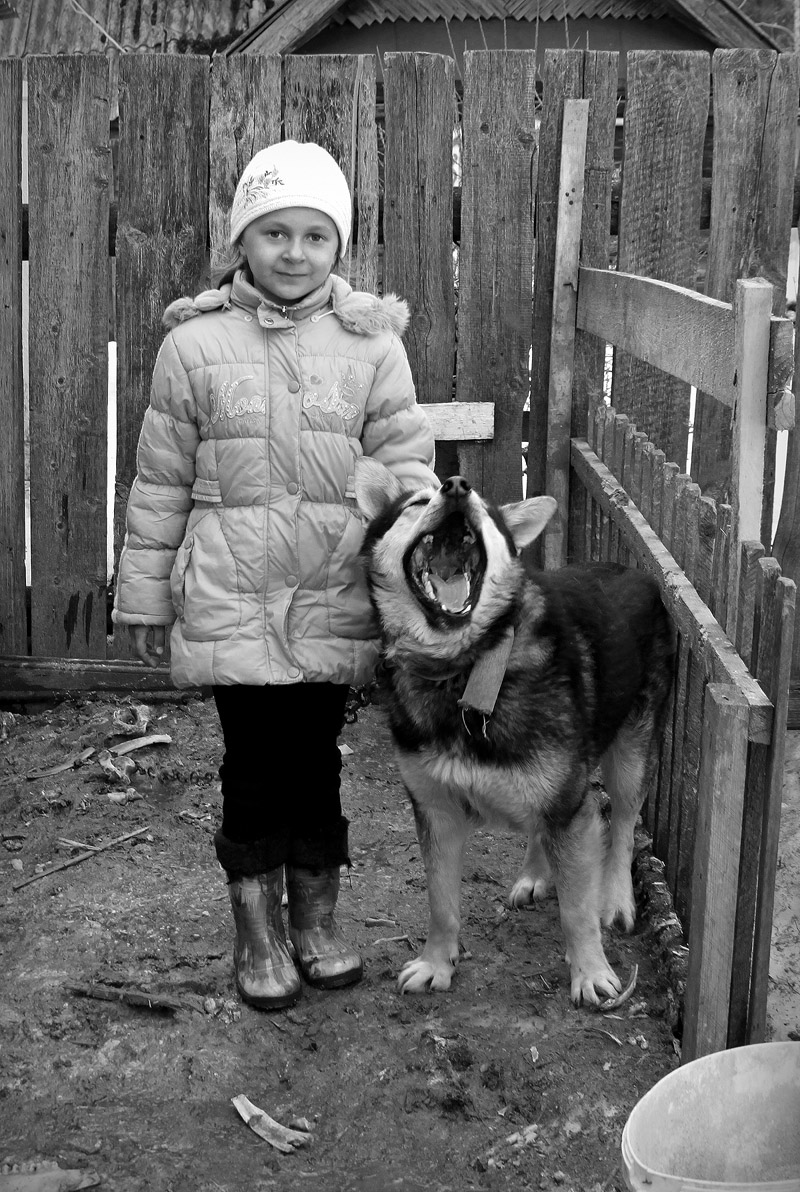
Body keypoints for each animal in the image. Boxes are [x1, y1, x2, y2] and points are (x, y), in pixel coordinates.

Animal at [357, 455, 677, 1006]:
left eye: (485, 510)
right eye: (417, 502)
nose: (456, 486)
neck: (468, 668)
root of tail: (639, 573)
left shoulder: (570, 805)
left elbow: (576, 908)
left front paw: (590, 971)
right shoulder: (436, 810)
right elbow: (441, 901)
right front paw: (437, 963)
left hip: (629, 756)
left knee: (621, 824)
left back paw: (615, 899)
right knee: (545, 826)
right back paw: (535, 873)